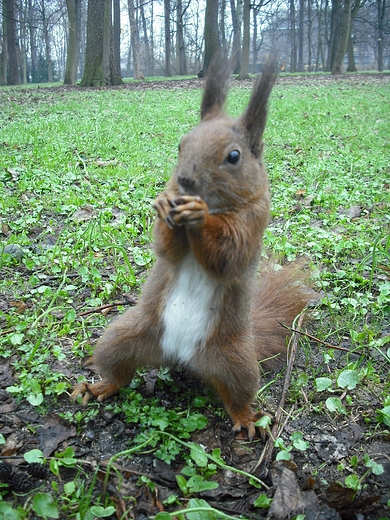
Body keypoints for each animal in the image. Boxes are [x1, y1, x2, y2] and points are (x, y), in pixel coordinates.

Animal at [71, 57, 314, 438]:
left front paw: (199, 216)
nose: (184, 180)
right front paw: (165, 202)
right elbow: (167, 251)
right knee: (119, 373)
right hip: (124, 336)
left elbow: (228, 256)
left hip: (236, 362)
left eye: (234, 156)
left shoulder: (255, 219)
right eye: (181, 145)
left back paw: (247, 420)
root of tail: (180, 358)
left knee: (236, 397)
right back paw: (97, 388)